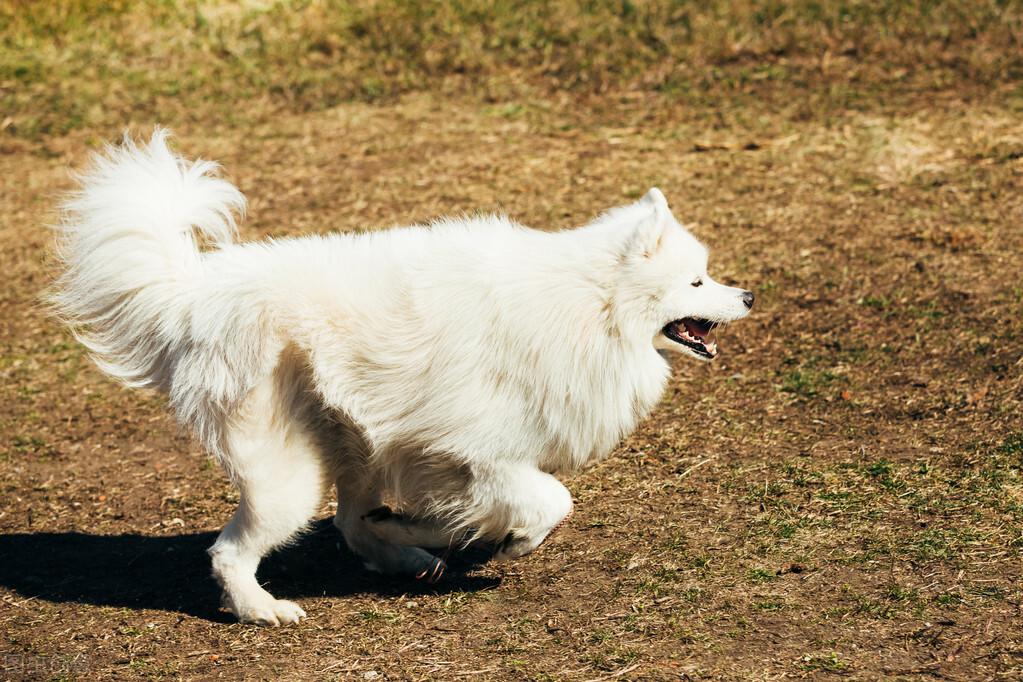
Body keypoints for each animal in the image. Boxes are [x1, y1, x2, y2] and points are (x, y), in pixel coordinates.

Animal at [51, 130, 757, 625]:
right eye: (697, 283)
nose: (748, 296)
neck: (588, 305)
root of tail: (193, 295)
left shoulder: (443, 460)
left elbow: (475, 512)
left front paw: (449, 536)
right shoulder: (475, 452)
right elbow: (553, 502)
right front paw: (510, 543)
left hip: (356, 448)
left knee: (351, 521)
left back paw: (405, 556)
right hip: (288, 477)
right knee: (235, 550)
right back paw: (263, 610)